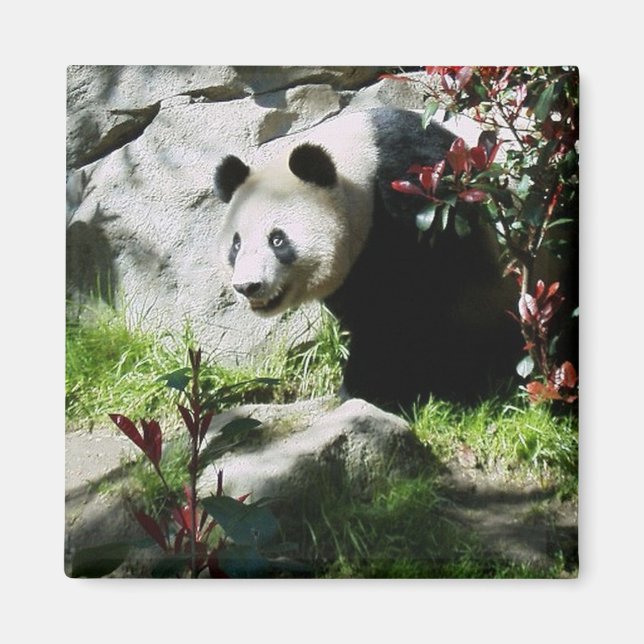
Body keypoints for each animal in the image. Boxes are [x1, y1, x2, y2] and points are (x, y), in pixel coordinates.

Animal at [214, 107, 521, 409]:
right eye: (236, 244)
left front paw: (370, 389)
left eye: (277, 240)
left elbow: (406, 307)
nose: (248, 286)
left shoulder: (417, 202)